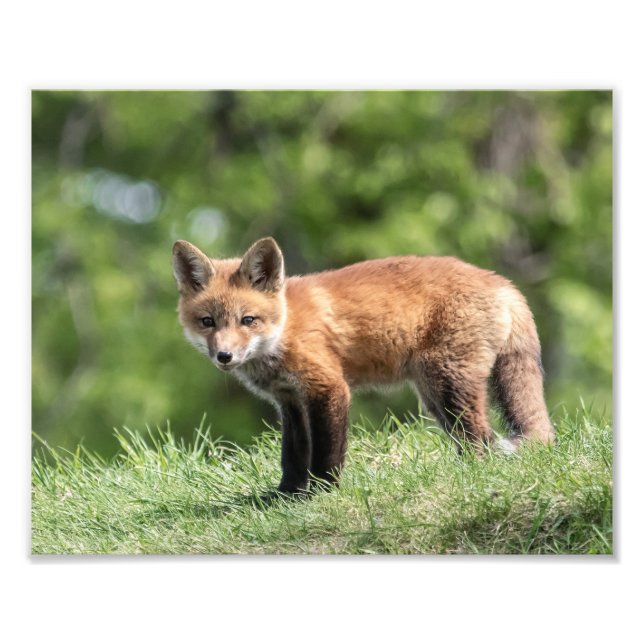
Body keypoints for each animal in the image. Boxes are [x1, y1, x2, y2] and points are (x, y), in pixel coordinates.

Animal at [172, 237, 554, 494]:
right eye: (207, 322)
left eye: (247, 320)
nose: (224, 356)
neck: (285, 328)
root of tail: (501, 281)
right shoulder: (290, 400)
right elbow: (292, 455)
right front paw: (285, 495)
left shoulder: (328, 388)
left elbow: (327, 452)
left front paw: (322, 493)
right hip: (434, 394)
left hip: (447, 383)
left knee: (481, 439)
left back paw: (470, 475)